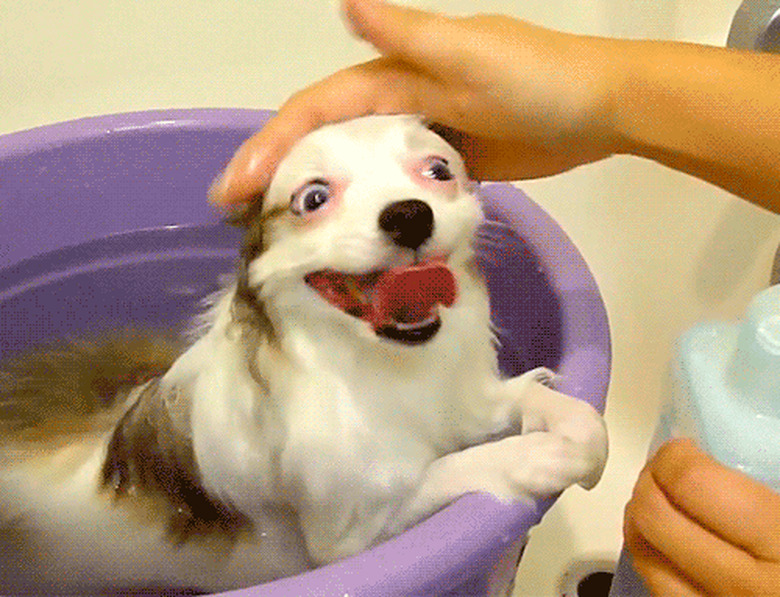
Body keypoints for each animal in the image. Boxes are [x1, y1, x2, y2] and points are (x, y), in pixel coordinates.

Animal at [0, 113, 608, 592]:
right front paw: (537, 455)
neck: (378, 367)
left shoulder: (463, 402)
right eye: (314, 198)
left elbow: (546, 407)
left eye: (438, 171)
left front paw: (575, 430)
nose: (409, 214)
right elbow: (452, 466)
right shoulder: (354, 537)